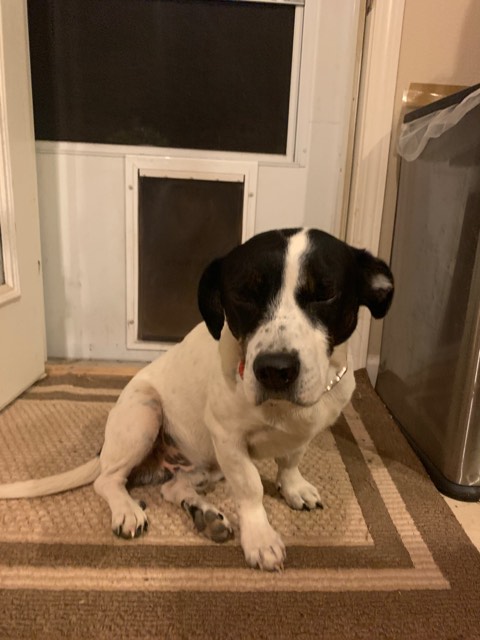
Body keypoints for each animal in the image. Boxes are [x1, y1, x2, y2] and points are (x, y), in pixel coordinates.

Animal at [0, 228, 393, 571]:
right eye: (244, 295)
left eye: (325, 293)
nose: (274, 370)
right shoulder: (228, 439)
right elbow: (251, 487)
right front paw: (260, 538)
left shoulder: (301, 434)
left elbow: (290, 460)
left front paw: (294, 487)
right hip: (144, 415)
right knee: (109, 480)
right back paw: (128, 510)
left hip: (207, 465)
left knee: (172, 488)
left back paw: (202, 513)